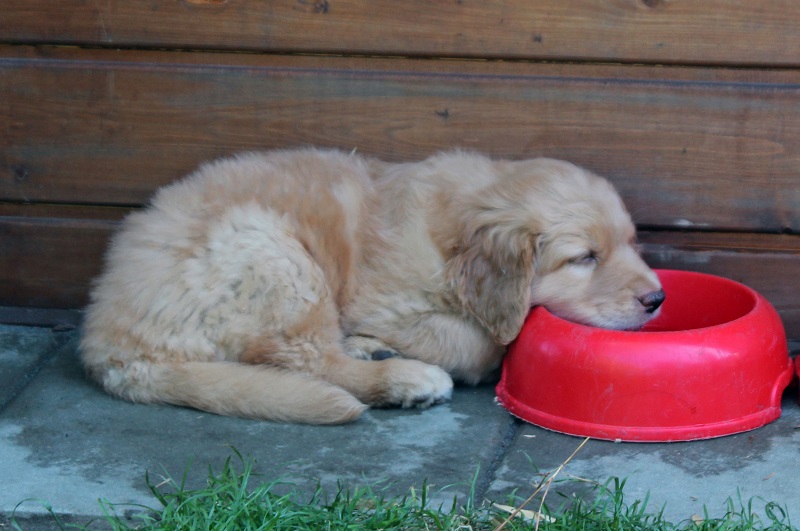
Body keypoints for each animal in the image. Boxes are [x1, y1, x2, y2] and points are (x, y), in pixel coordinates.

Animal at [80, 148, 664, 424]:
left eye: (632, 242)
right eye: (584, 258)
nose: (656, 299)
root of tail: (108, 342)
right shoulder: (383, 303)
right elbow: (477, 341)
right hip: (276, 255)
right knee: (309, 360)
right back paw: (404, 378)